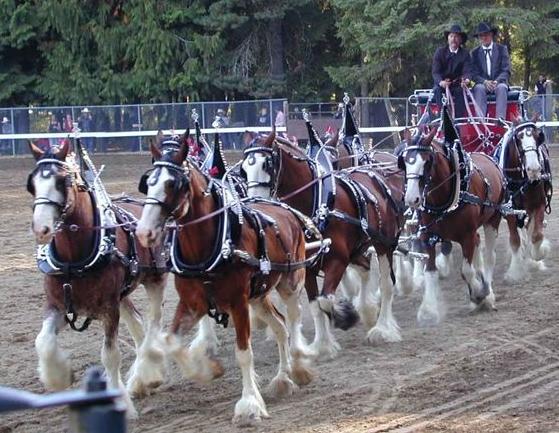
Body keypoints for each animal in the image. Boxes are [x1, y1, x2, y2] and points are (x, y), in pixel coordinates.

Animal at [27, 139, 168, 416]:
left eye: (62, 181)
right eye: (32, 183)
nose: (41, 228)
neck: (74, 260)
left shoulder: (108, 309)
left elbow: (110, 355)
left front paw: (120, 403)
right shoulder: (57, 305)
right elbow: (43, 342)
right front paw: (59, 376)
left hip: (154, 280)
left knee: (152, 324)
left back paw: (147, 374)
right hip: (123, 294)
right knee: (138, 324)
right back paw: (141, 379)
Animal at [136, 133, 318, 424]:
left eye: (172, 183)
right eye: (149, 182)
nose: (144, 232)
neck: (210, 246)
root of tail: (284, 207)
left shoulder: (238, 303)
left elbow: (243, 353)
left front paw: (249, 403)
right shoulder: (192, 303)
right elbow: (171, 343)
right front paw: (207, 370)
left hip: (290, 282)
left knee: (293, 319)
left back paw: (299, 366)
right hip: (259, 296)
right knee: (279, 326)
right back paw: (282, 378)